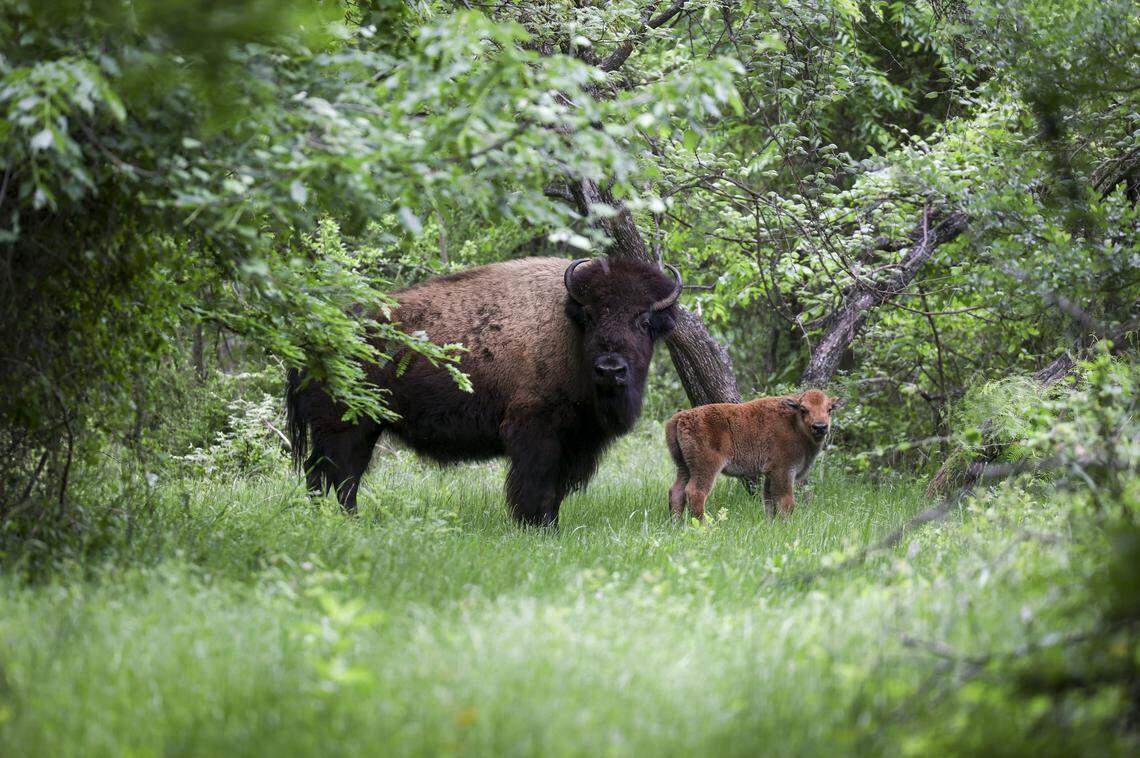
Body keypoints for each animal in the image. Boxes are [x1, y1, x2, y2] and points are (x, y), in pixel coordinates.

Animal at [286, 255, 682, 526]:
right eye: (591, 316)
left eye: (643, 320)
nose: (610, 370)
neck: (567, 330)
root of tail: (311, 336)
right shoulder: (534, 431)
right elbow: (536, 485)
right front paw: (536, 528)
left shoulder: (576, 441)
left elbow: (555, 490)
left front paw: (550, 527)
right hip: (348, 428)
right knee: (340, 478)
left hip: (354, 430)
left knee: (325, 476)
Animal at [664, 389, 844, 521]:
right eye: (803, 409)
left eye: (829, 409)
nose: (820, 427)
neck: (794, 424)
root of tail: (681, 417)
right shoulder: (783, 471)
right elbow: (786, 501)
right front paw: (786, 524)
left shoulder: (770, 473)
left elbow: (769, 501)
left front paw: (770, 523)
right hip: (706, 467)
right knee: (695, 492)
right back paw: (705, 526)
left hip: (684, 466)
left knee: (676, 491)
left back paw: (676, 524)